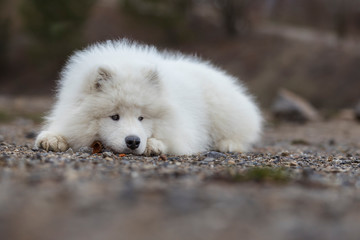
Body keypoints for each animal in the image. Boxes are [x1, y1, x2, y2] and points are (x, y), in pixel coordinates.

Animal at [35, 39, 262, 156]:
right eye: (114, 117)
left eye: (141, 117)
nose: (133, 141)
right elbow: (63, 129)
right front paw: (52, 138)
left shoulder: (182, 130)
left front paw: (153, 144)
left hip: (224, 111)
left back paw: (228, 144)